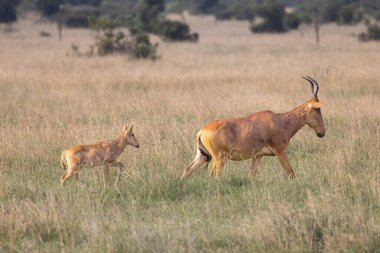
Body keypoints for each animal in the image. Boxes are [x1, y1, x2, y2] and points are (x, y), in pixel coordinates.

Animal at [183, 76, 326, 179]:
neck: (280, 120)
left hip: (203, 156)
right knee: (213, 176)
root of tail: (201, 131)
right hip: (219, 158)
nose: (322, 132)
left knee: (187, 170)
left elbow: (252, 175)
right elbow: (291, 173)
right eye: (318, 110)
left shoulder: (258, 156)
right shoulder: (280, 152)